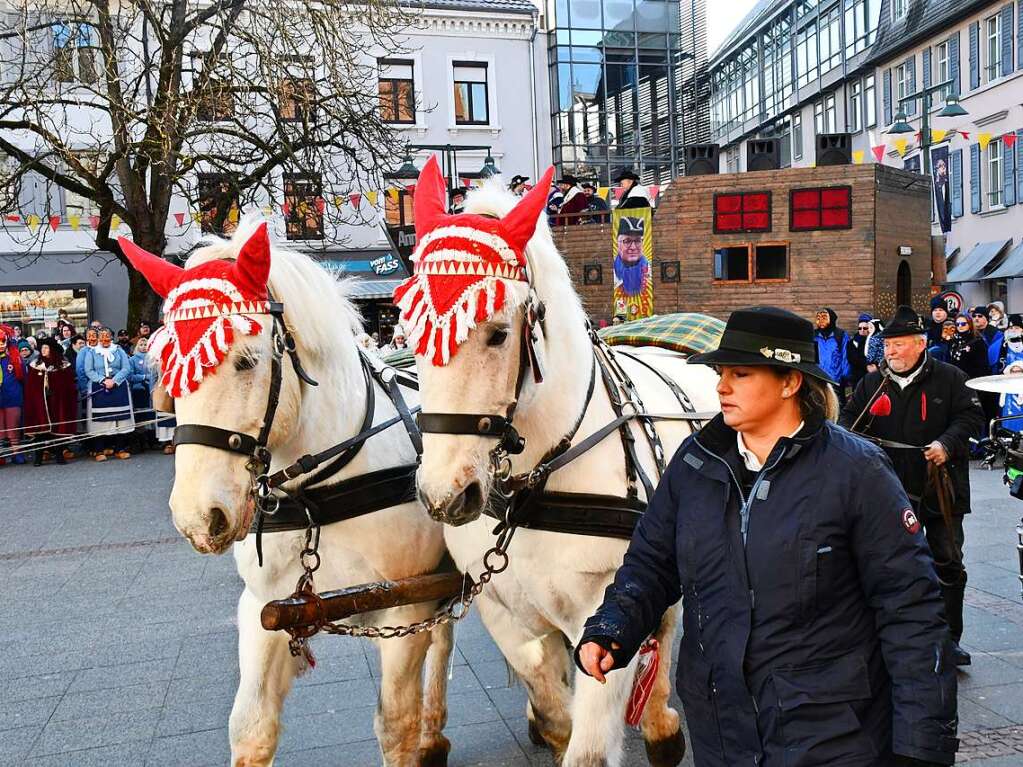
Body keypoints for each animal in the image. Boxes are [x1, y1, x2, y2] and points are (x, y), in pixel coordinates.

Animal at [120, 223, 452, 767]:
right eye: (164, 365)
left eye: (246, 360)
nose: (197, 518)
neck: (317, 497)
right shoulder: (264, 609)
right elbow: (251, 728)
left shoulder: (407, 609)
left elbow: (395, 726)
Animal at [403, 169, 724, 767]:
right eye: (406, 332)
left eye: (498, 332)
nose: (443, 494)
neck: (537, 486)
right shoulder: (506, 613)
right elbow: (552, 705)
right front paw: (549, 721)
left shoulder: (605, 609)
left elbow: (590, 746)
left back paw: (661, 723)